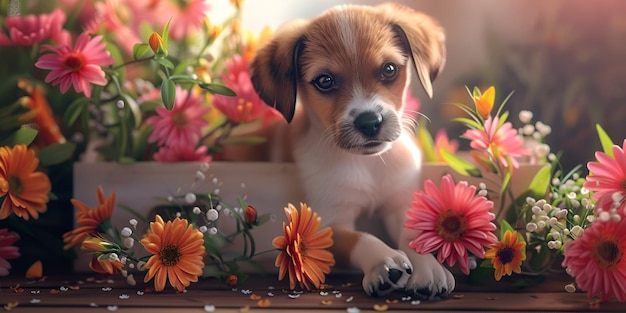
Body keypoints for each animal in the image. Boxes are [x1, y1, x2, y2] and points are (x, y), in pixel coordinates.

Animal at [250, 3, 454, 298]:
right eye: (325, 81)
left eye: (389, 69)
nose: (370, 123)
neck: (368, 165)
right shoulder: (328, 223)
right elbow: (358, 238)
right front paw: (384, 263)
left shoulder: (399, 202)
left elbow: (414, 235)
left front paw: (429, 268)